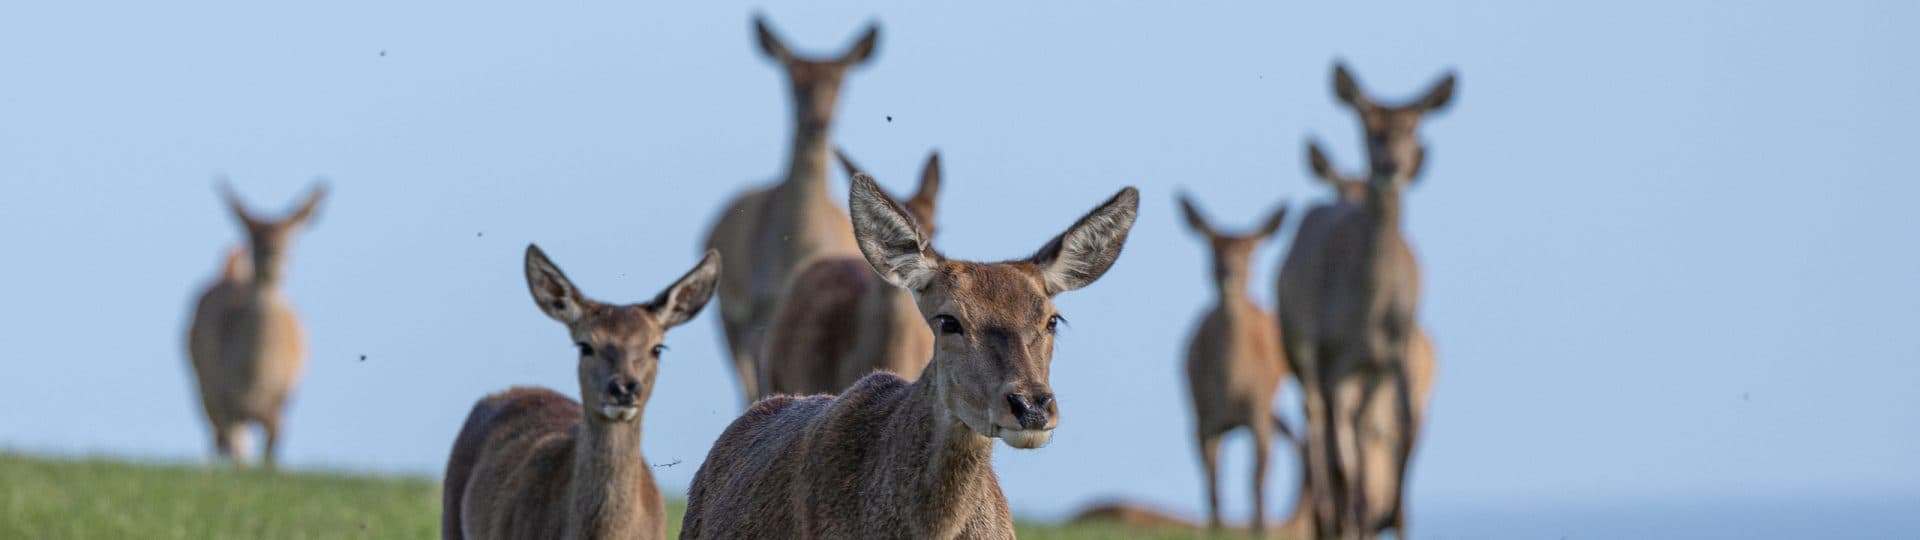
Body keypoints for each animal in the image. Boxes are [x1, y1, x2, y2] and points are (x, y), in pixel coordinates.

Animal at [185, 181, 325, 467]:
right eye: (252, 237)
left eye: (290, 238)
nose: (272, 257)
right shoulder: (219, 398)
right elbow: (237, 450)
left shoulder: (279, 408)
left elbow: (269, 456)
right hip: (202, 386)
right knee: (219, 439)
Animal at [1176, 193, 1290, 536]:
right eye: (1211, 245)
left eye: (1251, 251)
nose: (1228, 272)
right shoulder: (1201, 418)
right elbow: (1212, 481)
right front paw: (1215, 527)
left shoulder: (1260, 411)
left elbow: (1257, 478)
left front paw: (1260, 528)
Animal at [1276, 62, 1453, 538]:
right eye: (1365, 124)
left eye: (1412, 124)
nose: (1390, 166)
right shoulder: (1334, 362)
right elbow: (1343, 457)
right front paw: (1348, 521)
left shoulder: (1396, 358)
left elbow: (1402, 444)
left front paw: (1391, 517)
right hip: (1304, 357)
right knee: (1320, 435)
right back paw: (1334, 518)